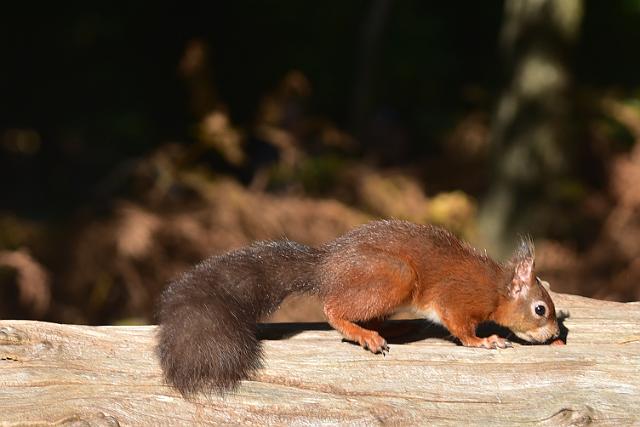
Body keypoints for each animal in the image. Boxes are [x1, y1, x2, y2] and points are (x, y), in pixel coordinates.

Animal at [156, 220, 560, 396]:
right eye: (541, 309)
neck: (496, 289)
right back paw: (364, 334)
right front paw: (485, 342)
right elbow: (461, 328)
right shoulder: (456, 299)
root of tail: (325, 267)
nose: (557, 335)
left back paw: (392, 327)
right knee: (333, 309)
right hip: (393, 277)